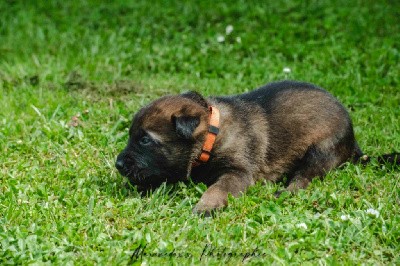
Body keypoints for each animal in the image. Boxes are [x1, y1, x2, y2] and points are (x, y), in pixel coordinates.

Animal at [114, 80, 398, 214]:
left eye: (145, 140)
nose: (118, 164)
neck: (212, 136)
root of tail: (354, 143)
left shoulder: (238, 173)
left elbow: (218, 188)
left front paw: (205, 206)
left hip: (321, 150)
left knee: (305, 178)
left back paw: (285, 191)